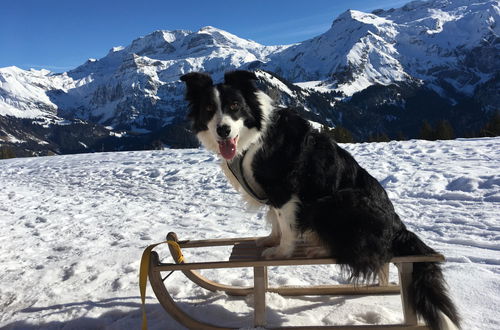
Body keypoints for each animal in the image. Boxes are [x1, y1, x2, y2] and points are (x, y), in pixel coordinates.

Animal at [181, 70, 460, 330]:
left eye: (235, 106)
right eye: (209, 109)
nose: (223, 130)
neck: (253, 137)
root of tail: (397, 228)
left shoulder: (283, 188)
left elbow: (286, 225)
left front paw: (281, 252)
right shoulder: (272, 193)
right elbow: (275, 221)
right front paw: (270, 239)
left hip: (334, 200)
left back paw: (321, 247)